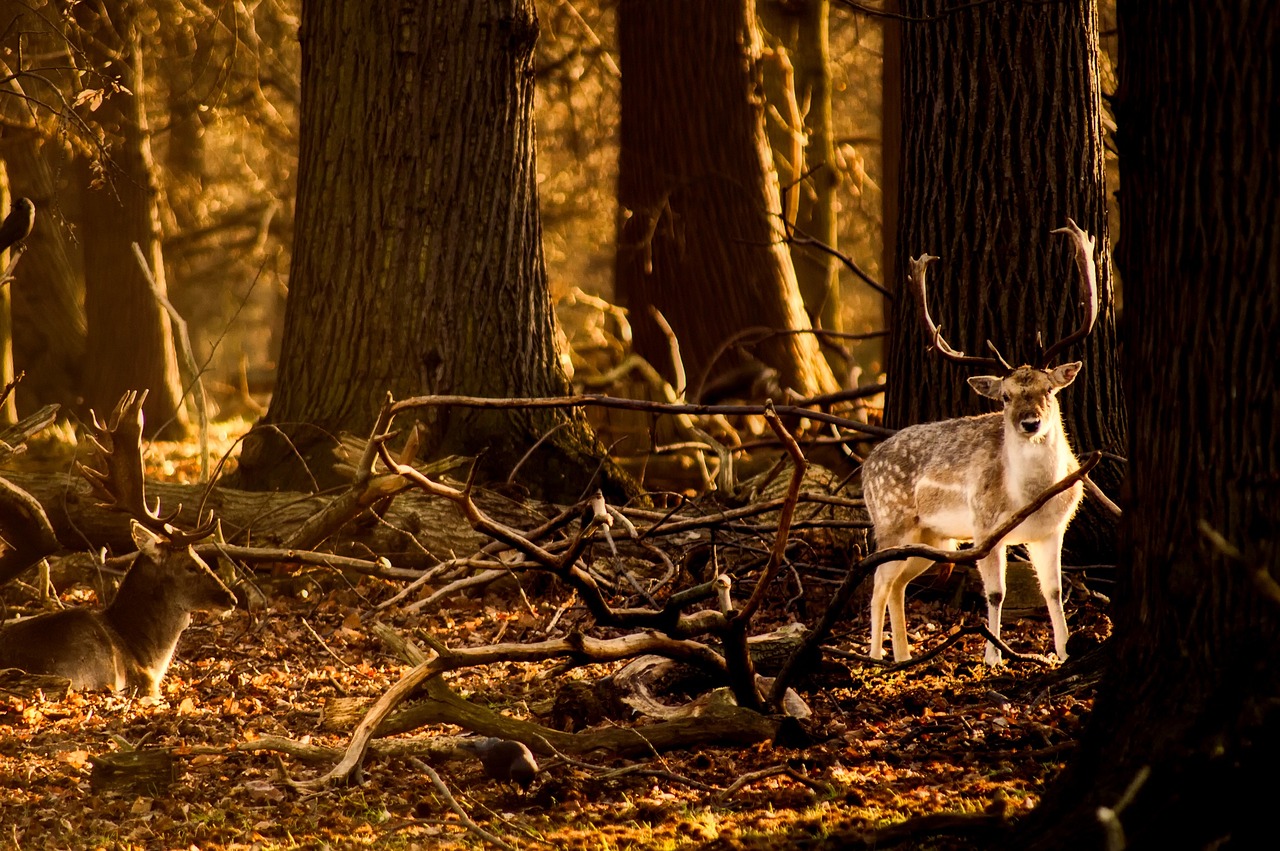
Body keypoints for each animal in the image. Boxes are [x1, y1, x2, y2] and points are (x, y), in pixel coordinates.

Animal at [860, 218, 1100, 665]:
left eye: (1049, 389)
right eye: (1005, 396)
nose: (1029, 423)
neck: (1029, 497)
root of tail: (866, 465)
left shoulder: (1052, 530)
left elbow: (1054, 591)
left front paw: (1064, 652)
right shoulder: (985, 527)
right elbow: (996, 593)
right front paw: (993, 657)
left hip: (934, 537)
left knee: (898, 584)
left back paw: (902, 655)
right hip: (892, 523)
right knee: (879, 582)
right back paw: (876, 656)